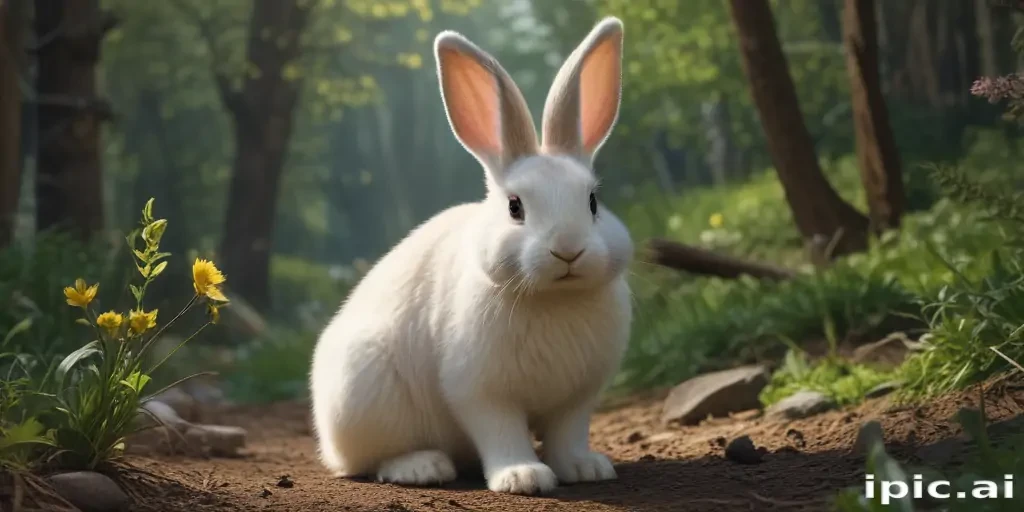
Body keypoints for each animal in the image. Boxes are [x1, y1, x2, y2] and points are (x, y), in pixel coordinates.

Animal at [309, 16, 632, 496]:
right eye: (515, 207)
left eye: (593, 201)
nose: (568, 249)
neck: (554, 300)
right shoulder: (480, 393)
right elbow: (502, 433)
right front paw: (523, 477)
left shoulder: (577, 399)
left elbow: (567, 435)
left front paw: (584, 468)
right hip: (366, 393)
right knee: (368, 459)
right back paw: (422, 467)